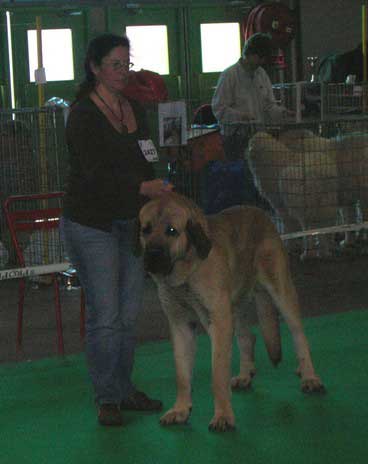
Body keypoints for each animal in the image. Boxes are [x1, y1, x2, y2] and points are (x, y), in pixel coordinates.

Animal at [136, 192, 324, 432]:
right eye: (146, 229)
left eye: (171, 231)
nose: (152, 254)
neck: (187, 271)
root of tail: (260, 213)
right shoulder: (180, 325)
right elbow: (182, 374)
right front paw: (180, 410)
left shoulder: (218, 321)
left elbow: (218, 373)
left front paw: (223, 415)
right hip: (234, 307)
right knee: (247, 337)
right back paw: (245, 375)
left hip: (280, 291)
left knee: (299, 335)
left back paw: (309, 376)